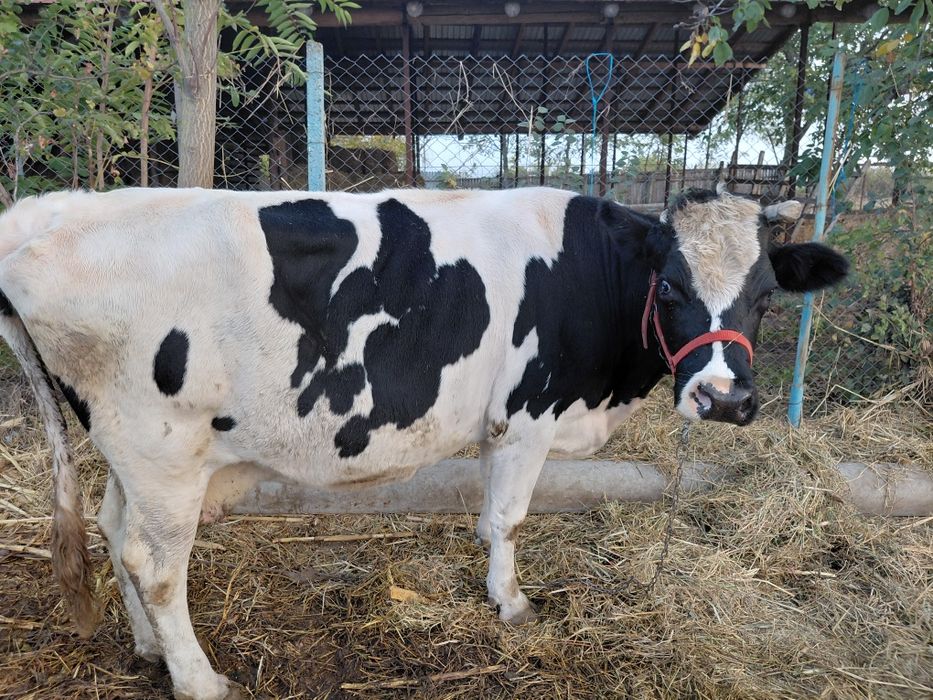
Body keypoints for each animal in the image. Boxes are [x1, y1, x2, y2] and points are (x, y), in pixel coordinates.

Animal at [0, 186, 847, 699]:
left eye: (765, 294)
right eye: (669, 286)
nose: (724, 398)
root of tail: (43, 213)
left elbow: (490, 516)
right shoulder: (528, 415)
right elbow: (506, 518)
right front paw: (510, 603)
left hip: (132, 452)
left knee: (116, 535)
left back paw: (149, 650)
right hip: (161, 445)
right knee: (155, 565)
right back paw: (200, 679)